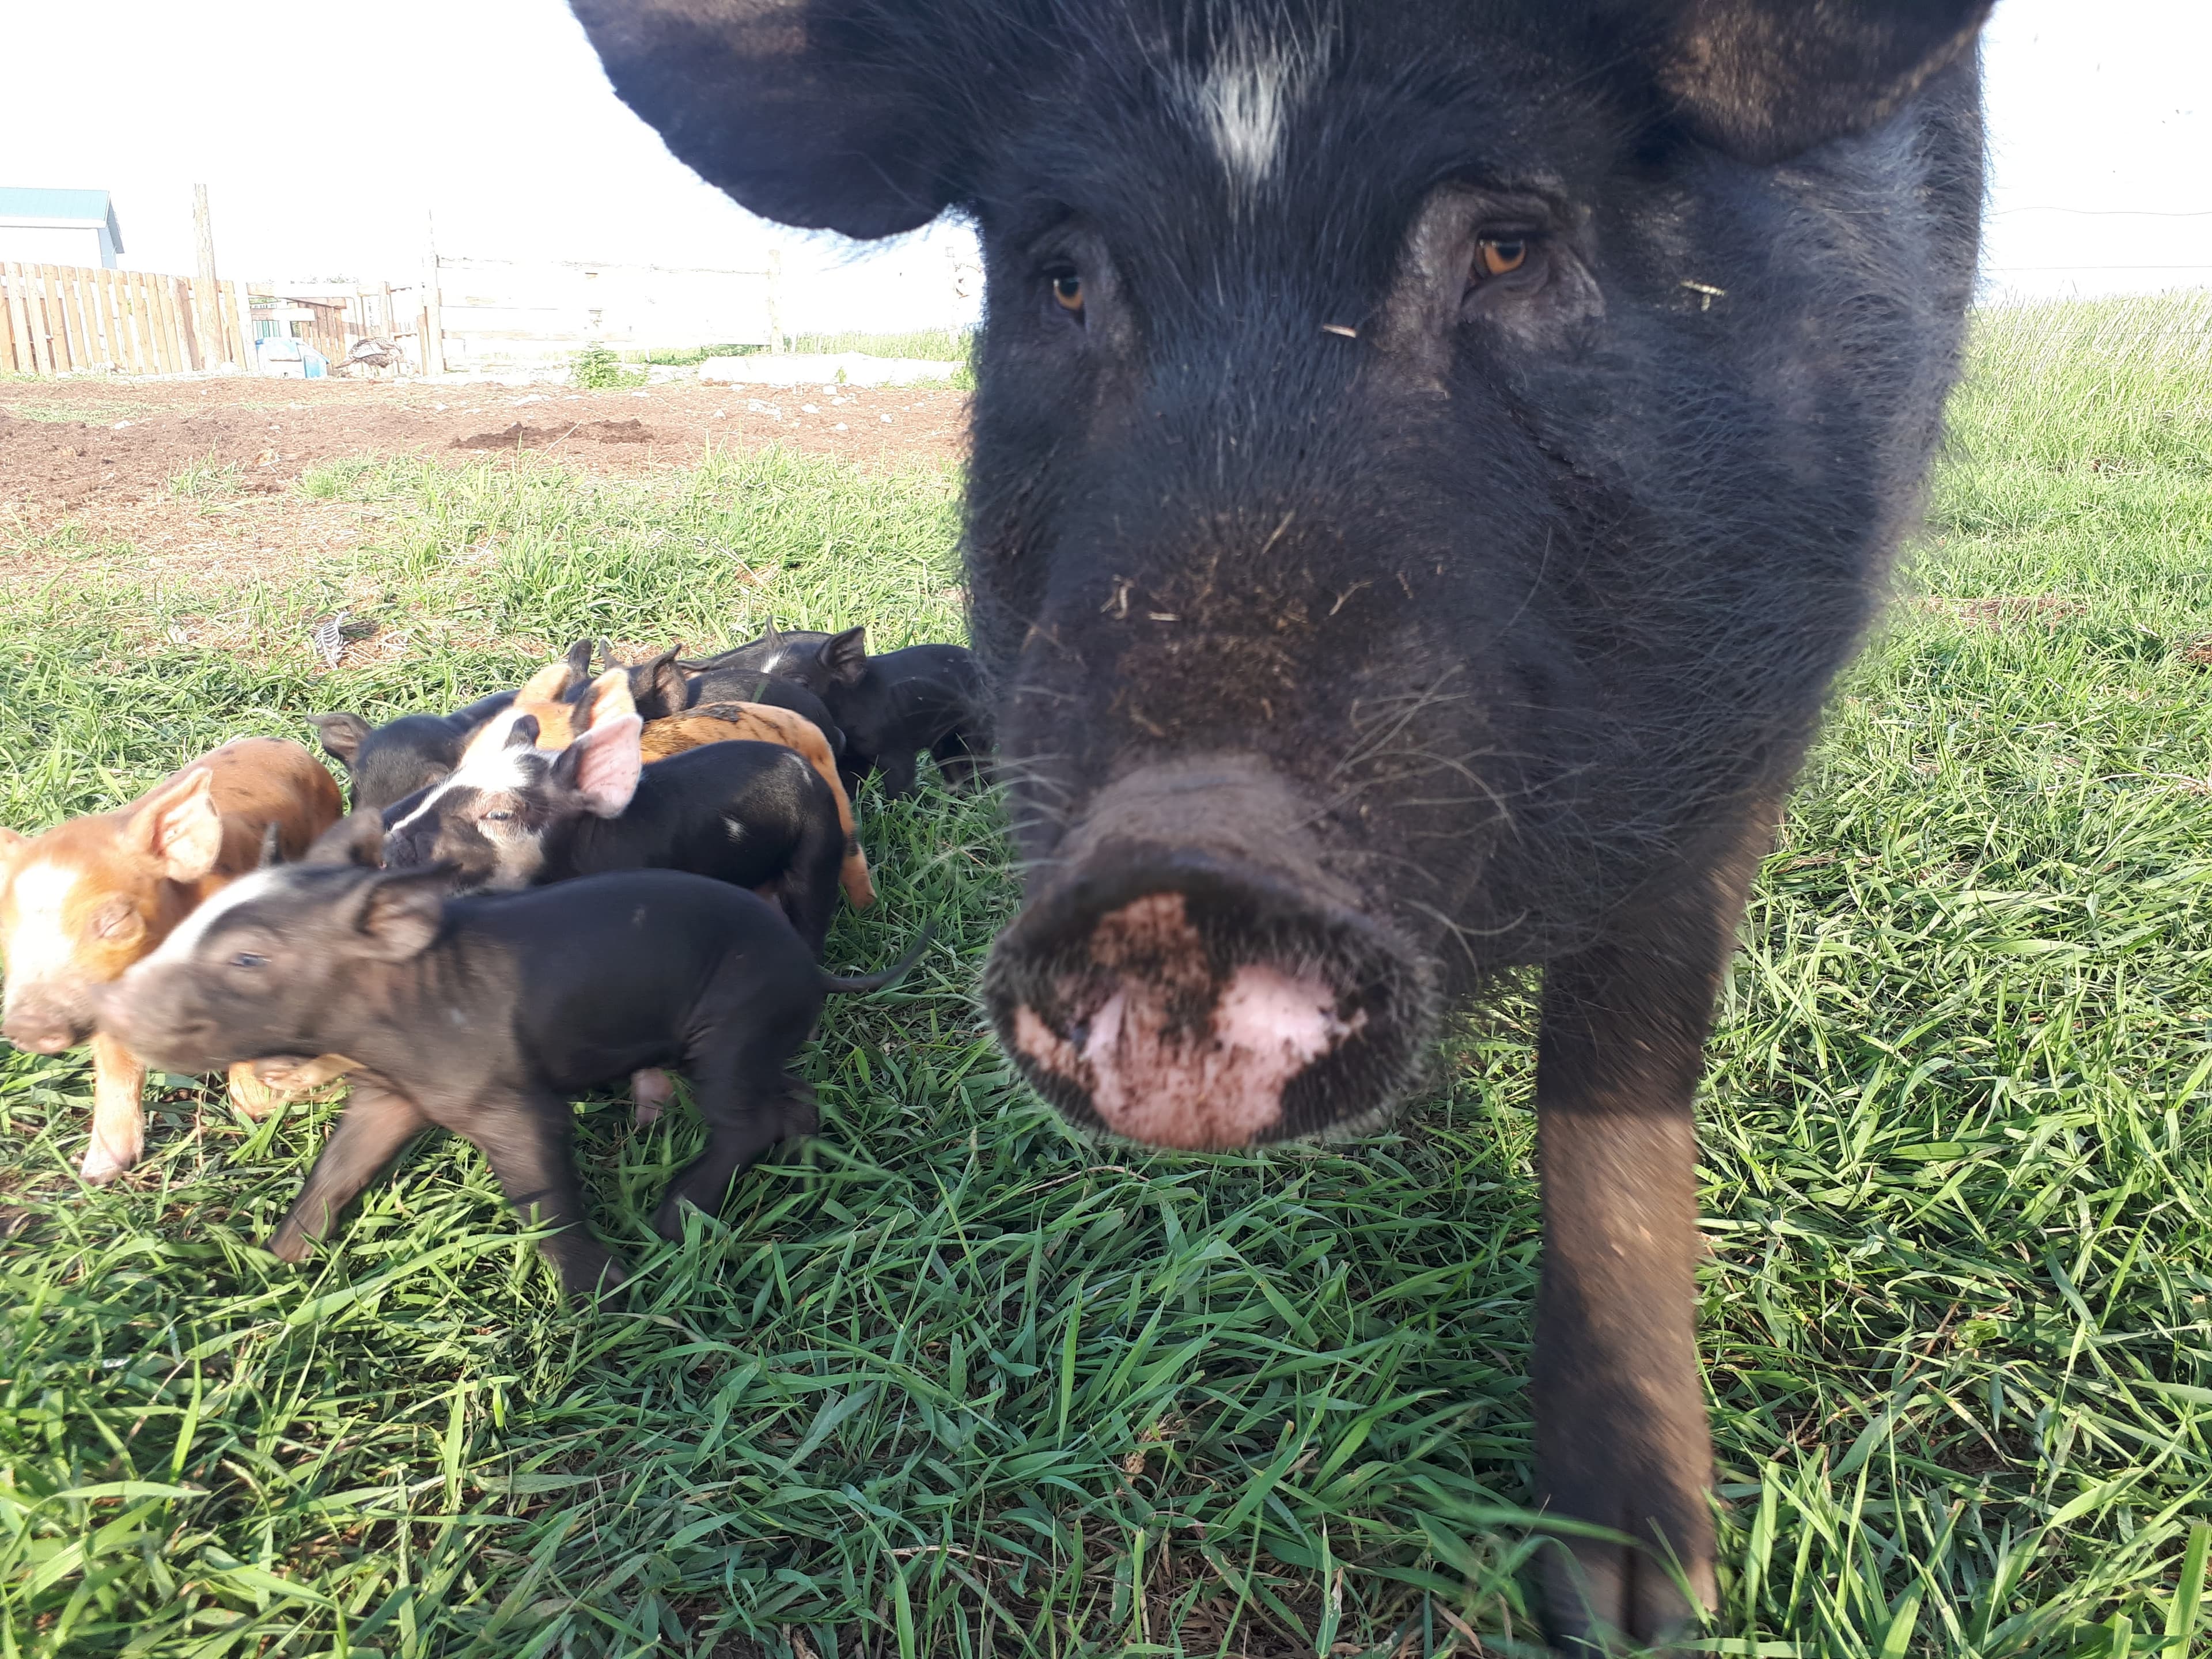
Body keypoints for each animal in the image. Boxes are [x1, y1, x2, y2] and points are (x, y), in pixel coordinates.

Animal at [0, 738, 344, 1180]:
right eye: (6, 931)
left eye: (115, 922)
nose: (26, 1026)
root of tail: (285, 744)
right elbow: (116, 1068)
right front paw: (97, 1174)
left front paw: (271, 1104)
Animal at [98, 832, 927, 1295]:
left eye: (248, 958)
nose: (113, 1009)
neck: (401, 994)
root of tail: (814, 969)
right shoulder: (391, 1097)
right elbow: (336, 1172)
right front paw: (272, 1269)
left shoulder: (511, 1106)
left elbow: (541, 1197)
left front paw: (601, 1297)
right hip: (757, 1038)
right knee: (788, 1098)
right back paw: (806, 1163)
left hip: (730, 1027)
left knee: (743, 1119)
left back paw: (675, 1215)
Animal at [687, 627, 992, 799]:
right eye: (760, 673)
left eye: (800, 684)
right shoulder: (848, 757)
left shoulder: (897, 751)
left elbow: (900, 790)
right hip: (946, 742)